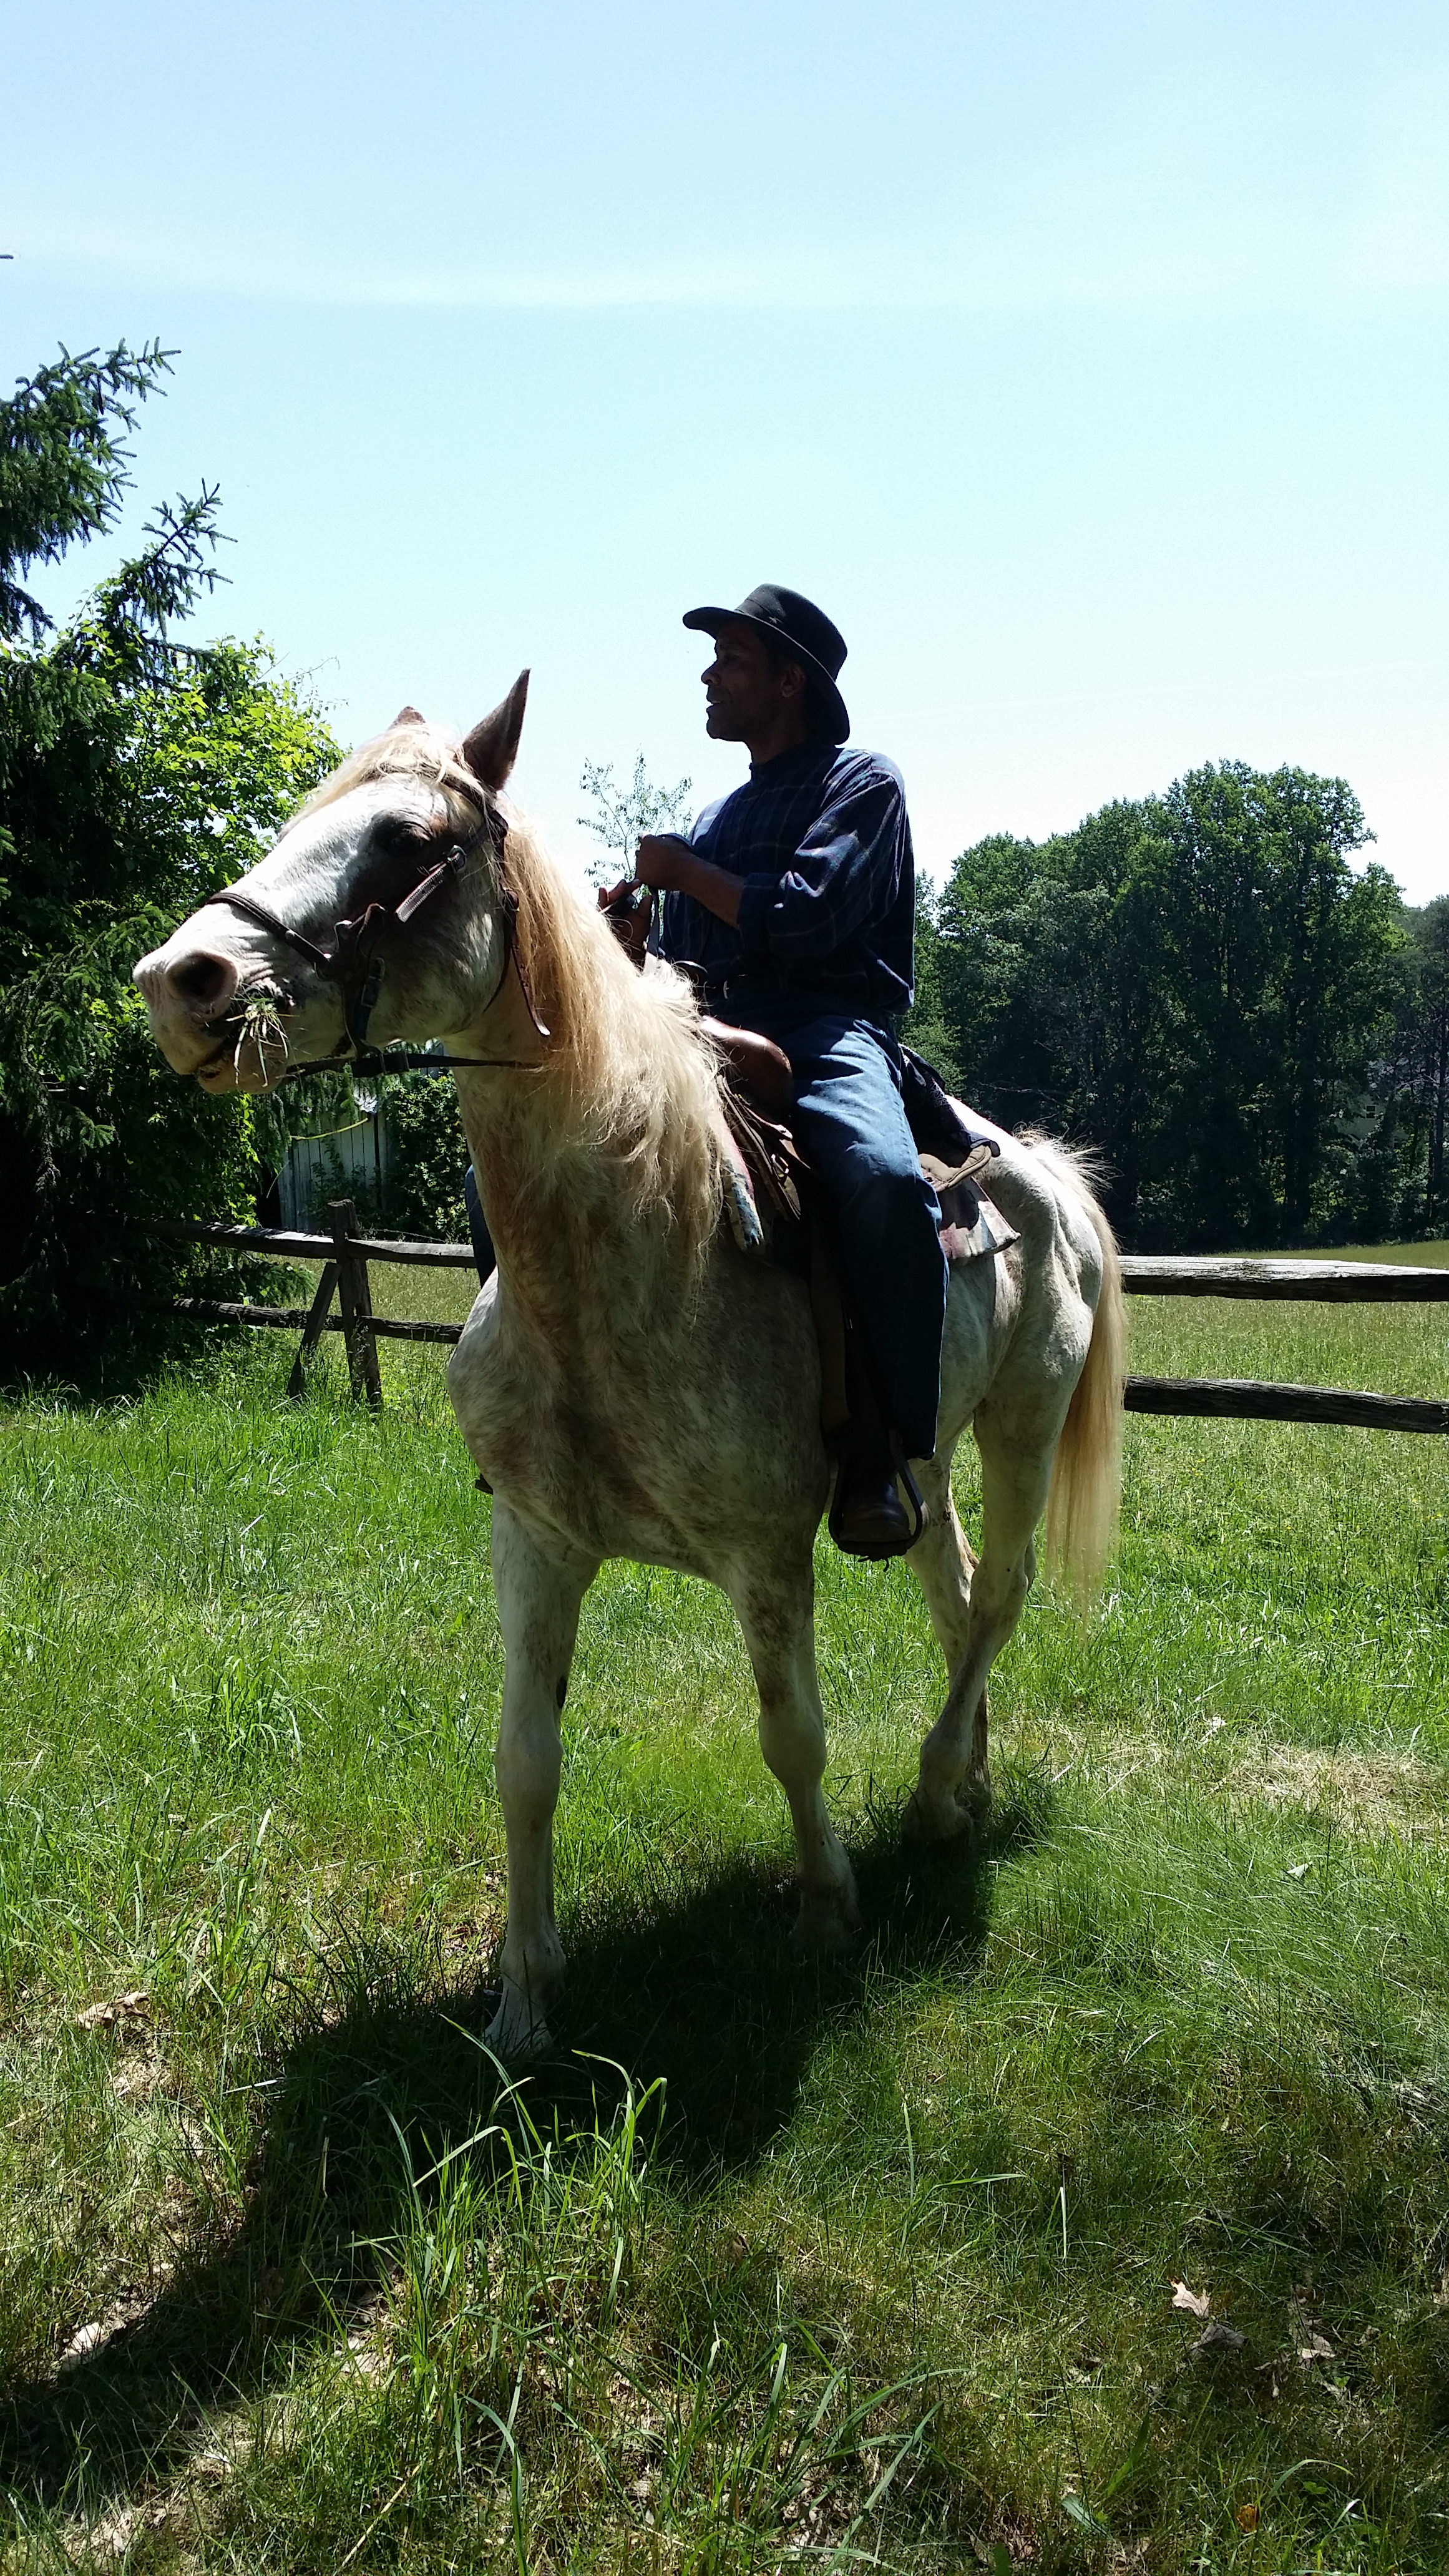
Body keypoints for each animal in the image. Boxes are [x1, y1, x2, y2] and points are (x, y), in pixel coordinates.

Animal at [135, 680, 1124, 2050]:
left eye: (403, 837)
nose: (181, 981)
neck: (633, 1250)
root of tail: (1045, 1170)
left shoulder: (767, 1557)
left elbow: (792, 1735)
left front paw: (825, 1910)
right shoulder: (536, 1542)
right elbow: (524, 1764)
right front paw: (523, 2002)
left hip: (1022, 1425)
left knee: (999, 1596)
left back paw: (935, 1793)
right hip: (919, 1451)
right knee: (954, 1585)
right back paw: (964, 1777)